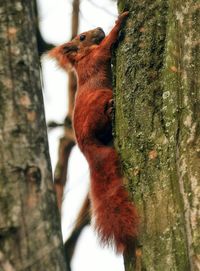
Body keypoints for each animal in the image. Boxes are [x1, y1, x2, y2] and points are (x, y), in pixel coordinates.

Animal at [48, 12, 139, 255]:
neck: (83, 58)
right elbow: (108, 45)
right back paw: (110, 110)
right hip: (99, 100)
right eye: (81, 36)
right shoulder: (98, 55)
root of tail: (88, 148)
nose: (98, 27)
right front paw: (120, 21)